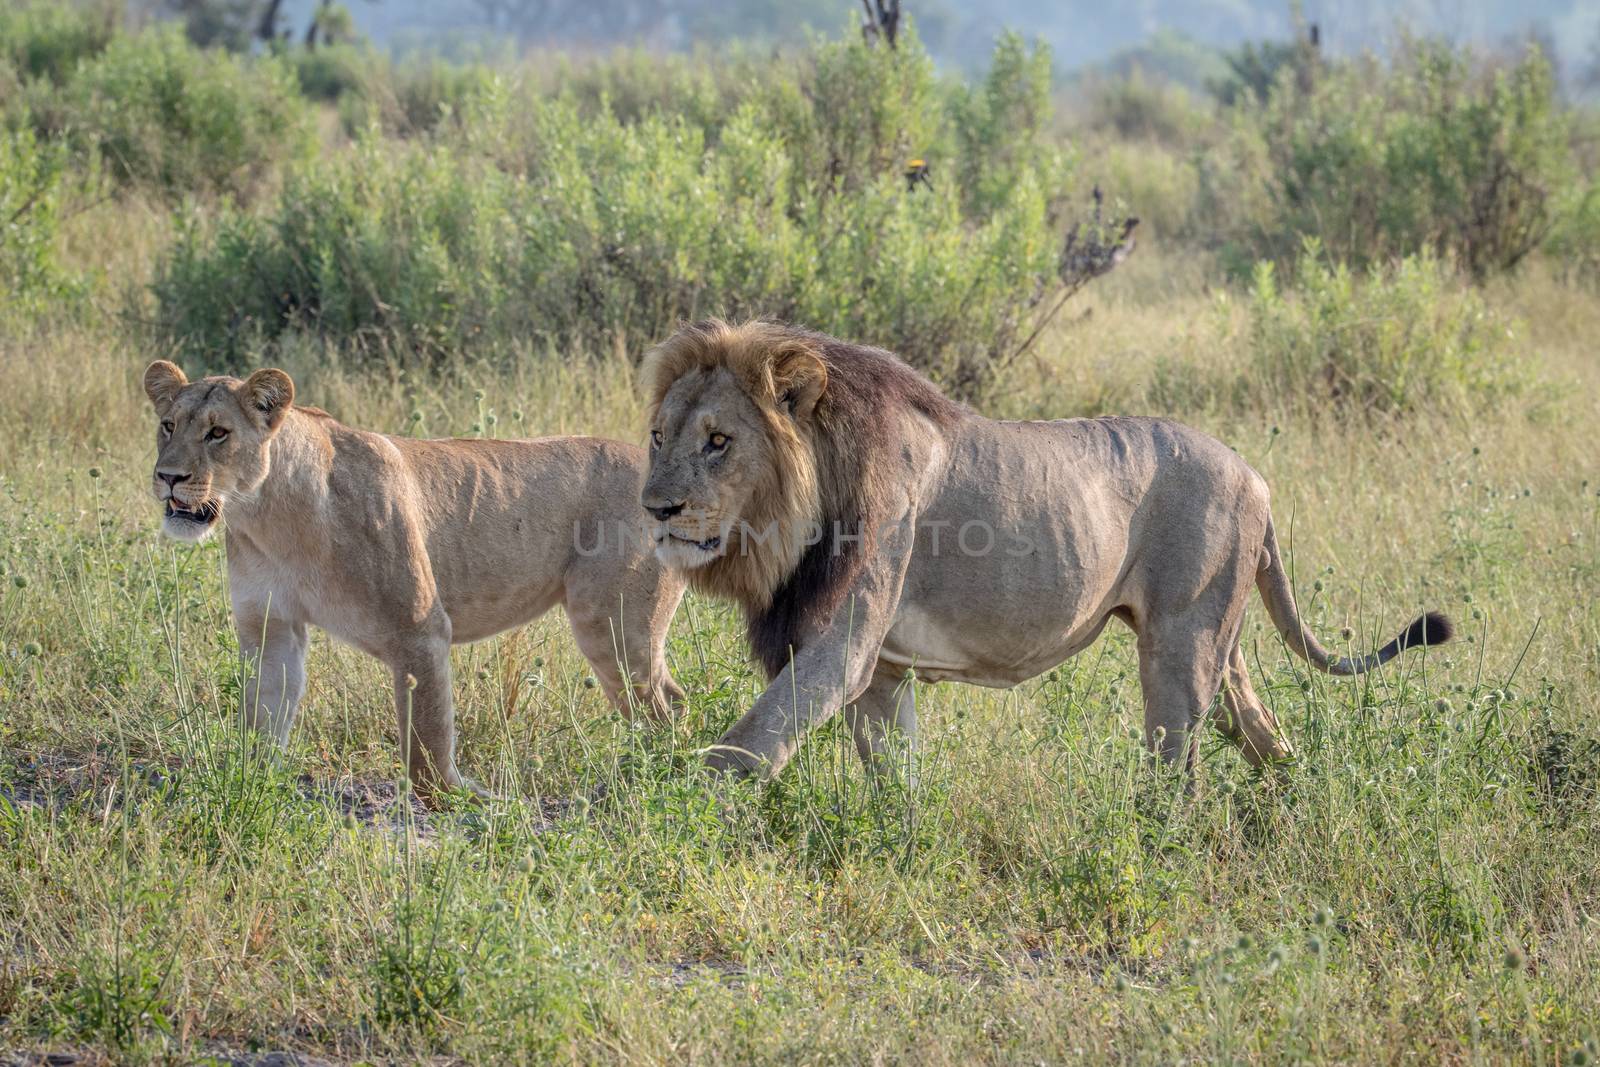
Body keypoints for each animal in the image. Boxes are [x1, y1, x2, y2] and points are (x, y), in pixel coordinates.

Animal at [142, 361, 681, 793]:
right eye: (167, 426)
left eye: (218, 433)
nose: (167, 476)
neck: (270, 516)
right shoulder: (270, 628)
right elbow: (263, 716)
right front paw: (250, 780)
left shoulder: (419, 630)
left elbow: (426, 738)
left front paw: (462, 800)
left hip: (612, 626)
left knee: (668, 706)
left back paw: (665, 779)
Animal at [640, 321, 1452, 780]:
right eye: (658, 436)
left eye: (719, 441)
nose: (655, 508)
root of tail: (1255, 475)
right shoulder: (881, 672)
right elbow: (894, 782)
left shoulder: (843, 644)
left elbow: (743, 748)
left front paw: (660, 809)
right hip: (1220, 644)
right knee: (1263, 734)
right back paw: (1289, 815)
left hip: (1180, 645)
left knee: (1177, 769)